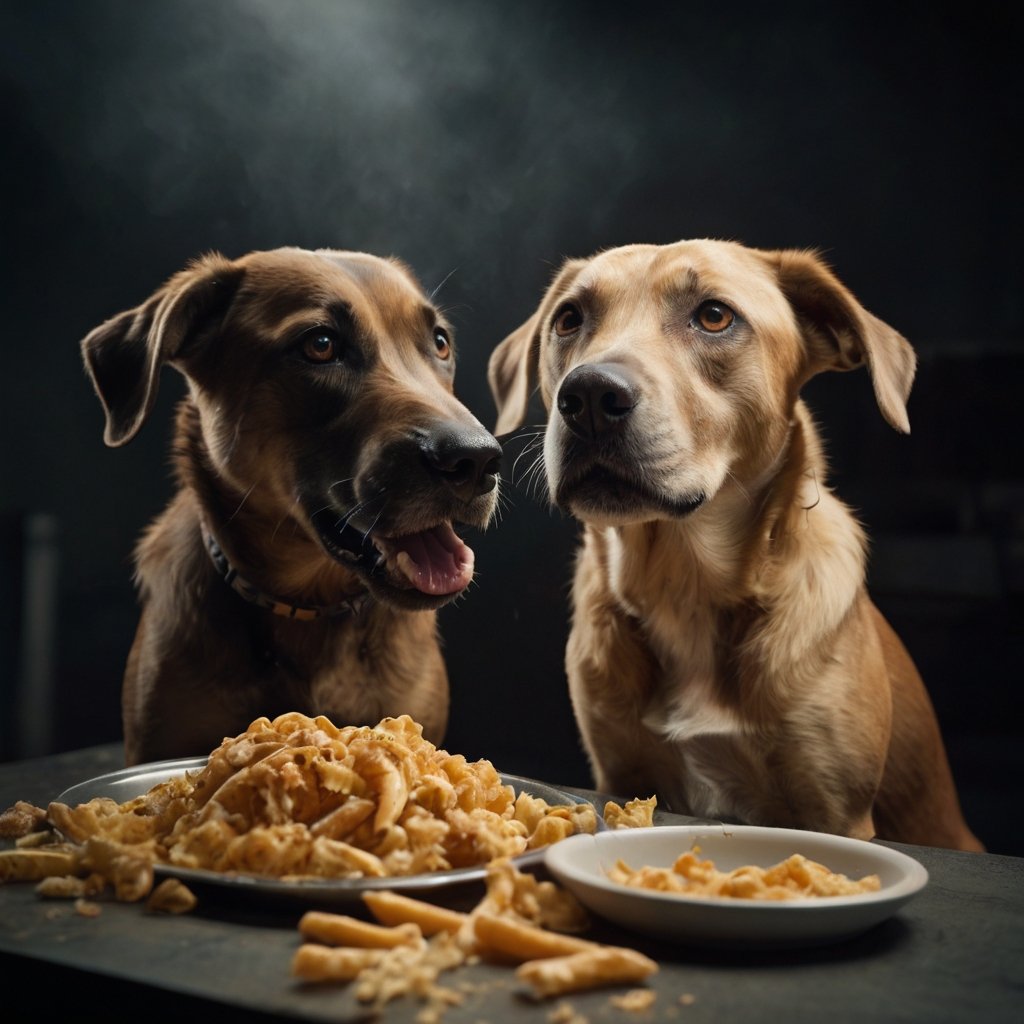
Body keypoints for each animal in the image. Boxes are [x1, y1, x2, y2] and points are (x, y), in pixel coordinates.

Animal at [493, 237, 983, 847]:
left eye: (714, 316)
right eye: (569, 319)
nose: (587, 395)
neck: (683, 588)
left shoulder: (836, 812)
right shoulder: (620, 771)